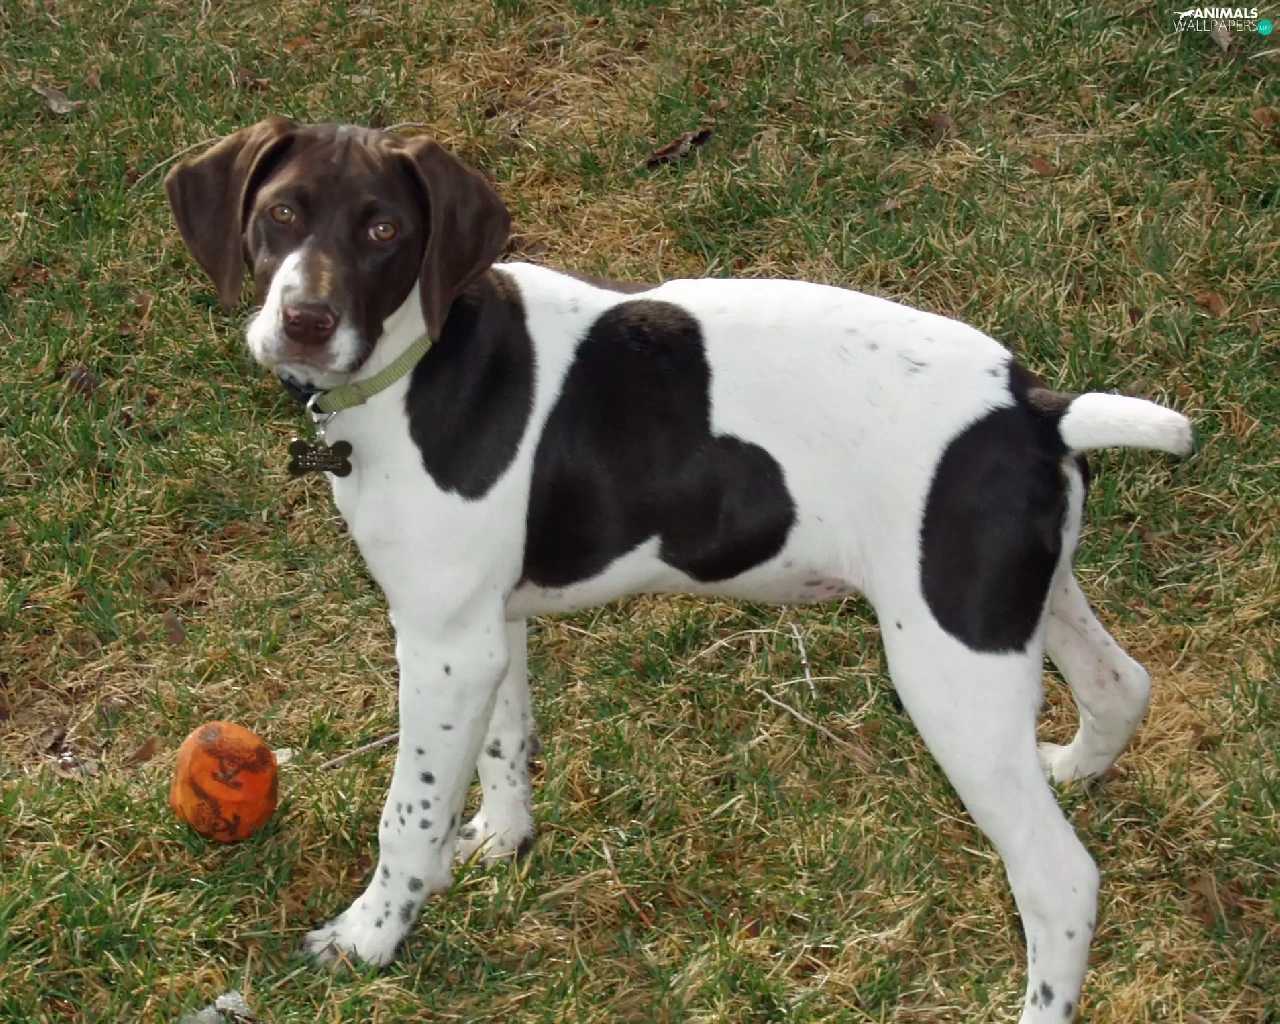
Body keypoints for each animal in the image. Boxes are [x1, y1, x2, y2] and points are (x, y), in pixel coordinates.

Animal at [165, 118, 1193, 1022]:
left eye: (384, 231)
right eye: (282, 214)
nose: (304, 321)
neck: (422, 361)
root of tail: (1037, 409)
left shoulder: (441, 644)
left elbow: (408, 811)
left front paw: (372, 935)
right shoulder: (484, 628)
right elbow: (503, 742)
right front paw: (504, 839)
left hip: (952, 672)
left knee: (1059, 879)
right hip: (1017, 605)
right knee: (1121, 684)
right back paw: (1075, 764)